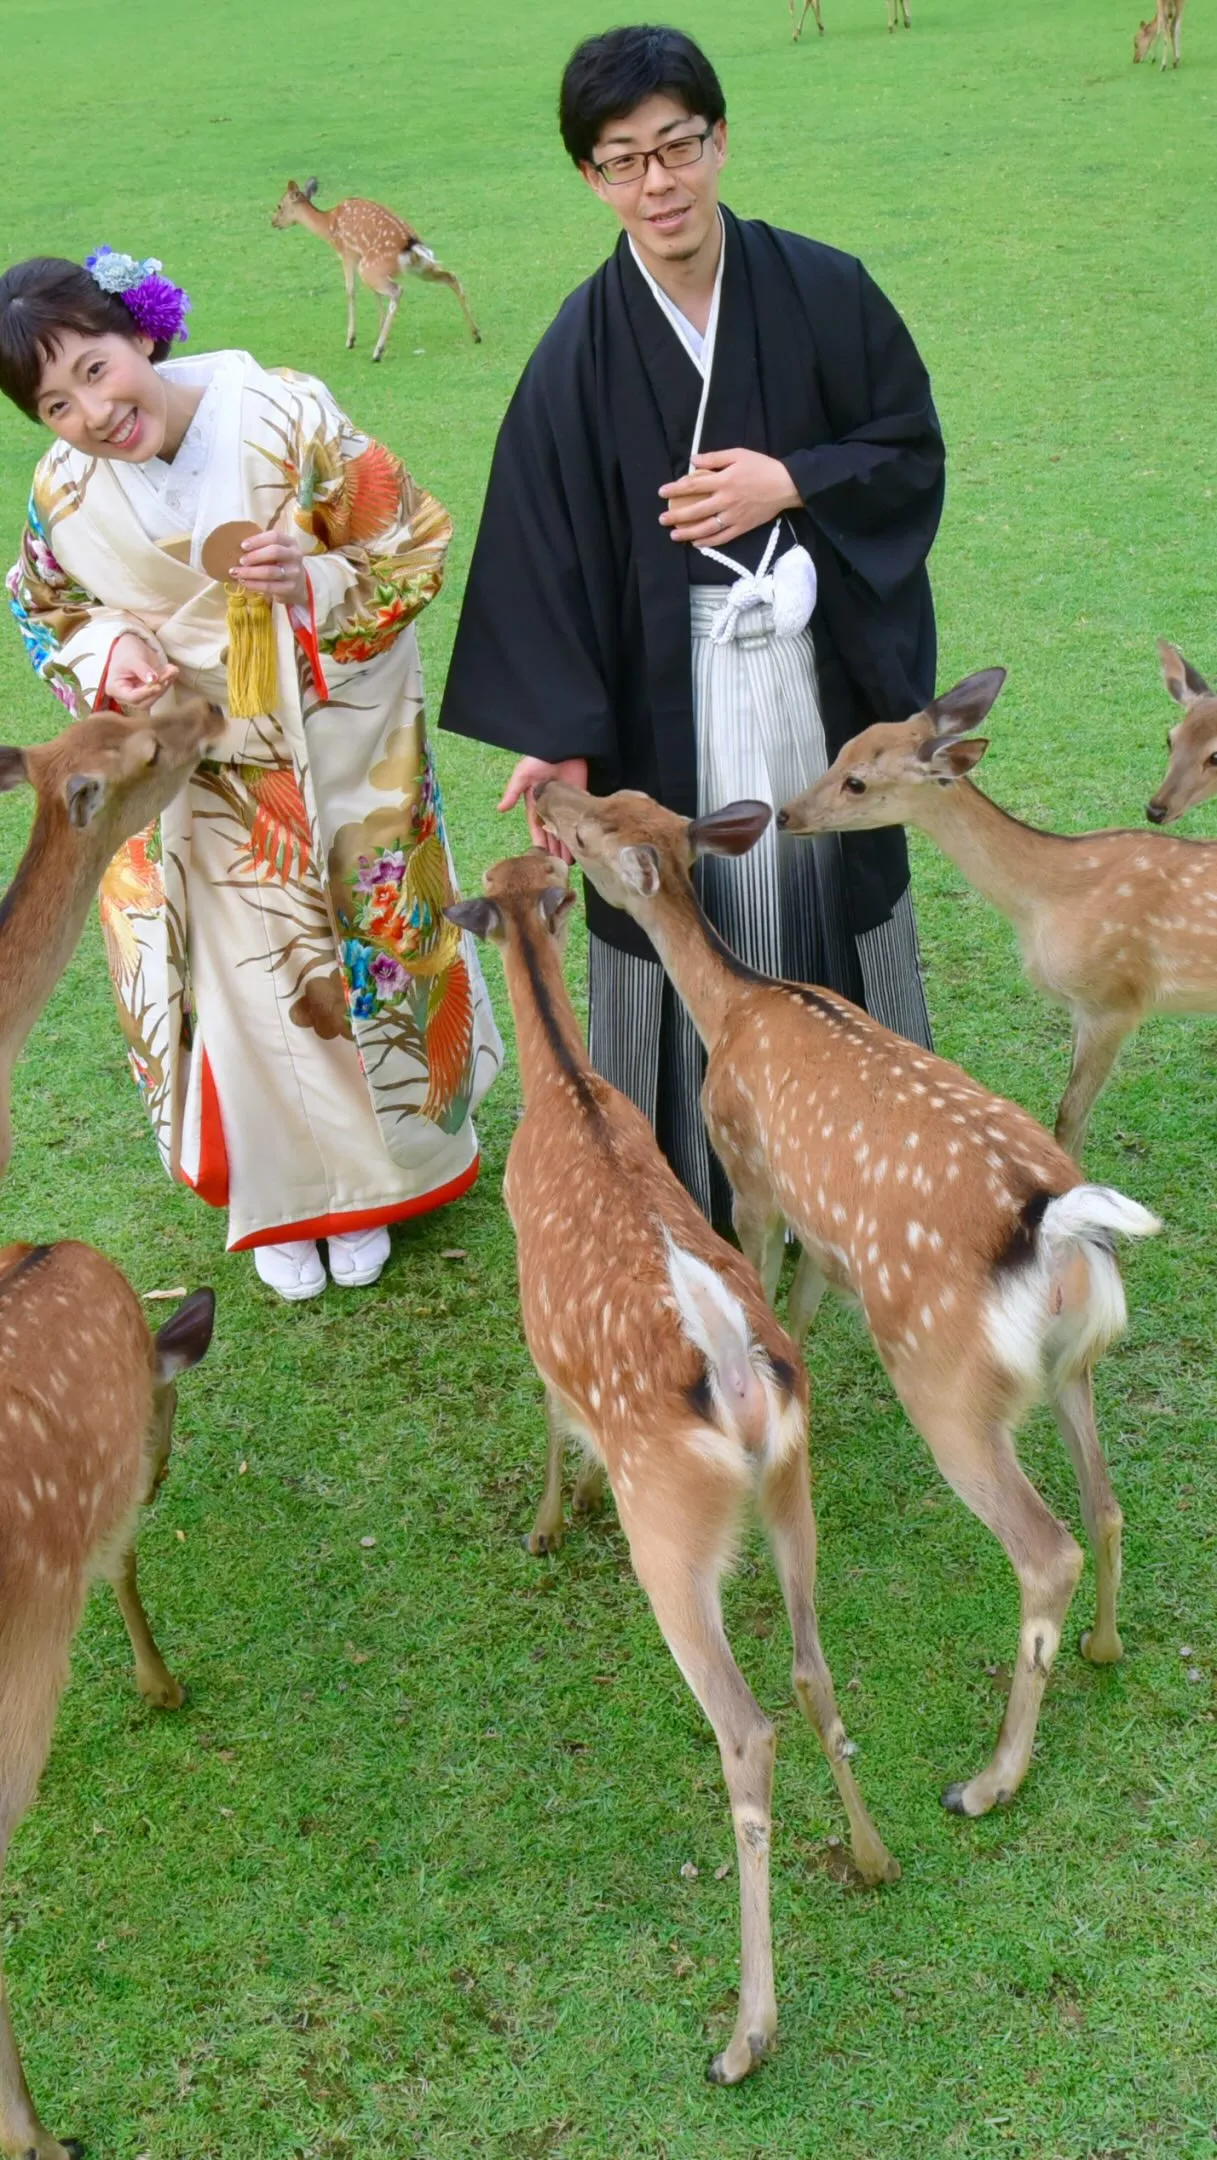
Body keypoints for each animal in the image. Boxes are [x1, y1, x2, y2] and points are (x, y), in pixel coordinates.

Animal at [271, 179, 482, 362]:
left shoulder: (347, 253)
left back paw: (377, 352)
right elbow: (374, 294)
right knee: (451, 277)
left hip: (371, 266)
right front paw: (379, 328)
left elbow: (350, 290)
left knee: (397, 290)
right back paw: (476, 334)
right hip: (418, 266)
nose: (273, 222)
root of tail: (411, 244)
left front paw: (351, 339)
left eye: (279, 206)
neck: (328, 226)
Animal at [444, 849, 898, 2087]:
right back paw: (874, 1854)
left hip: (672, 1543)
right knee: (812, 1664)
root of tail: (738, 1381)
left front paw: (547, 1519)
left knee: (746, 1729)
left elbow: (551, 1418)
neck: (567, 1089)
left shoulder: (530, 1319)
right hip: (791, 1496)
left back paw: (745, 2034)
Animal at [534, 780, 1160, 1825]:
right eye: (617, 798)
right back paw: (1105, 1646)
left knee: (1048, 1549)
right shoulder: (824, 1230)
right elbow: (803, 1302)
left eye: (588, 832)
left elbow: (758, 1268)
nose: (546, 790)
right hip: (1072, 1358)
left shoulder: (748, 1169)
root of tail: (1057, 1228)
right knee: (1105, 1502)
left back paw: (986, 1780)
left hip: (946, 1384)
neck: (734, 1005)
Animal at [778, 665, 1217, 1162]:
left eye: (857, 782)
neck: (1047, 901)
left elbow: (1069, 1116)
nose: (785, 813)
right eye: (838, 752)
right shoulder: (1083, 1008)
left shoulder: (1114, 998)